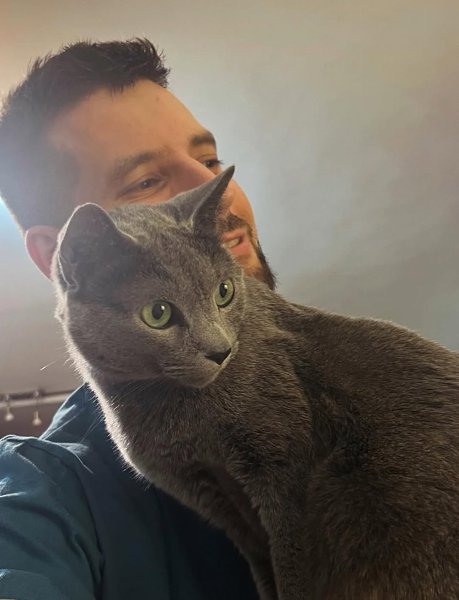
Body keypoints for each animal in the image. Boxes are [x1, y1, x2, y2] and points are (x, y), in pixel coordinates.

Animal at [52, 167, 459, 600]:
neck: (180, 418)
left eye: (224, 292)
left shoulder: (286, 469)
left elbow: (291, 559)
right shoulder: (208, 494)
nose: (220, 350)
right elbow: (261, 559)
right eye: (157, 313)